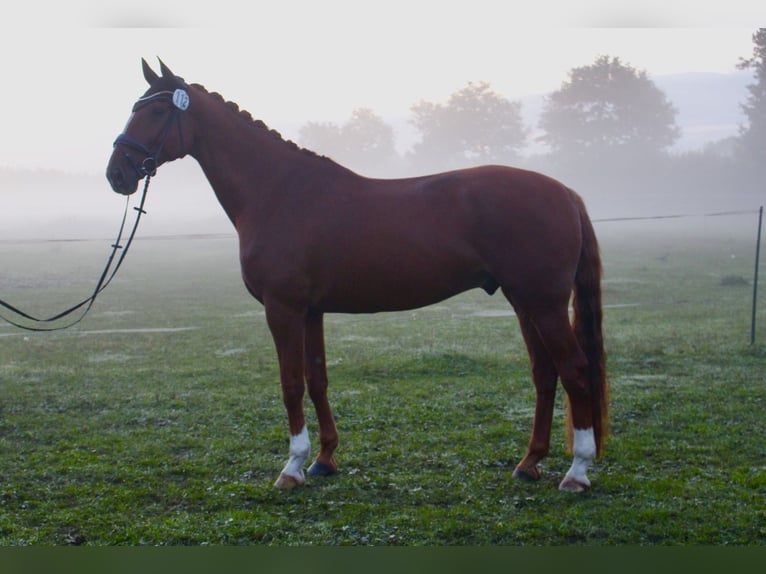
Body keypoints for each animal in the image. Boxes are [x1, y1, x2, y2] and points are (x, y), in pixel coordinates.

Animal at [106, 59, 608, 493]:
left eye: (155, 111)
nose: (117, 174)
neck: (279, 191)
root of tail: (565, 192)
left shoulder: (282, 309)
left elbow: (290, 384)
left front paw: (291, 468)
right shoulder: (310, 311)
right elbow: (316, 379)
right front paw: (324, 460)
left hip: (543, 303)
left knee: (575, 369)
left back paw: (577, 472)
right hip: (524, 302)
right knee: (545, 374)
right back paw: (529, 463)